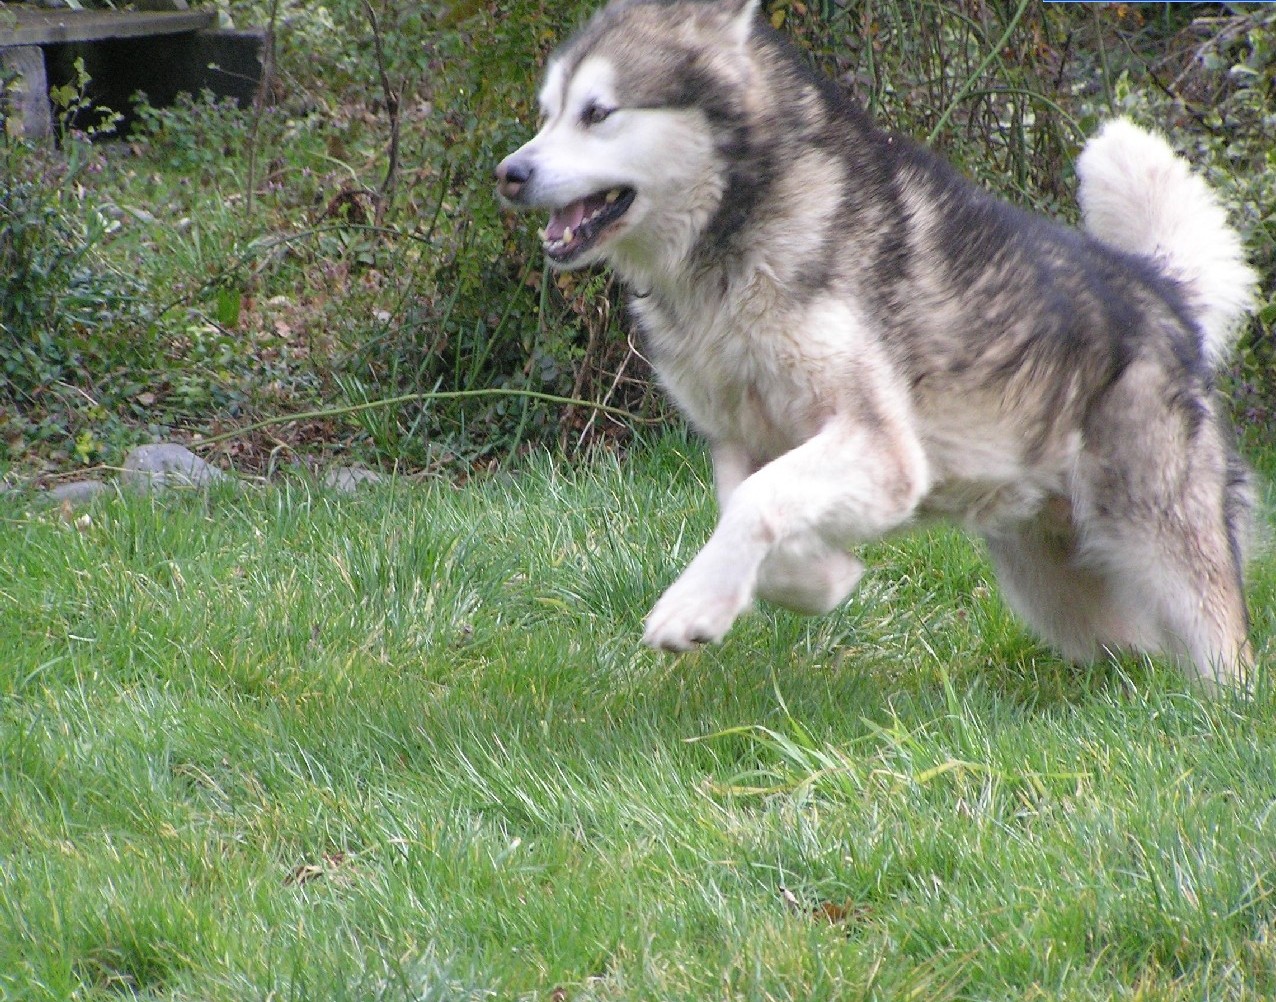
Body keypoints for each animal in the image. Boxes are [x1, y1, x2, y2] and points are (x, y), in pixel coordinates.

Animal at [492, 0, 1260, 679]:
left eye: (598, 112)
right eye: (546, 113)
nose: (509, 173)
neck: (730, 245)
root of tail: (1163, 290)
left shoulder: (882, 450)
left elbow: (758, 501)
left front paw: (694, 606)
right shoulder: (743, 437)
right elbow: (746, 505)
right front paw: (817, 580)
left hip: (1161, 542)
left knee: (1224, 652)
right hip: (1053, 583)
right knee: (1131, 651)